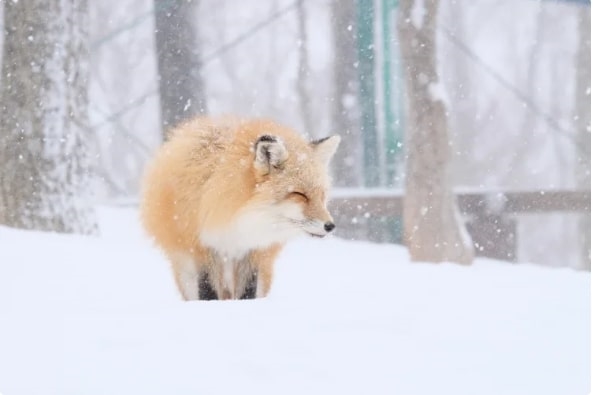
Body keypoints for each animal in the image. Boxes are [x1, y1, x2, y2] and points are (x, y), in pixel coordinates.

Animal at [139, 117, 340, 300]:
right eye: (299, 194)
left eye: (322, 195)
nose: (330, 226)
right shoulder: (201, 246)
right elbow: (207, 292)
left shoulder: (252, 250)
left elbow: (247, 293)